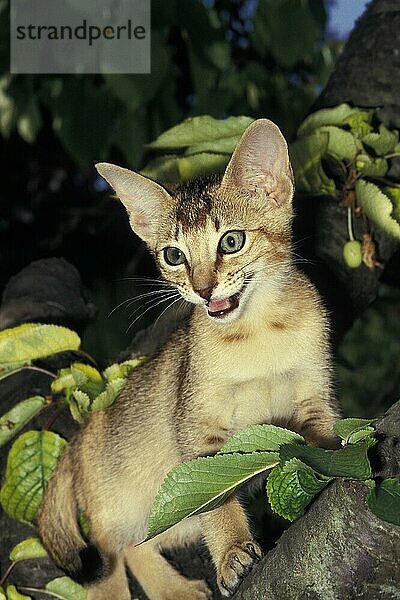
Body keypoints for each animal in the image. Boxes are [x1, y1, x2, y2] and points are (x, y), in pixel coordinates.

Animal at [37, 118, 340, 600]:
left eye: (231, 241)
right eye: (173, 255)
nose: (202, 289)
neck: (257, 334)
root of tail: (79, 438)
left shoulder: (314, 395)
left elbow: (321, 441)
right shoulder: (197, 427)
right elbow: (216, 502)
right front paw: (233, 553)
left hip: (169, 512)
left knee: (137, 547)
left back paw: (174, 590)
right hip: (121, 510)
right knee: (109, 560)